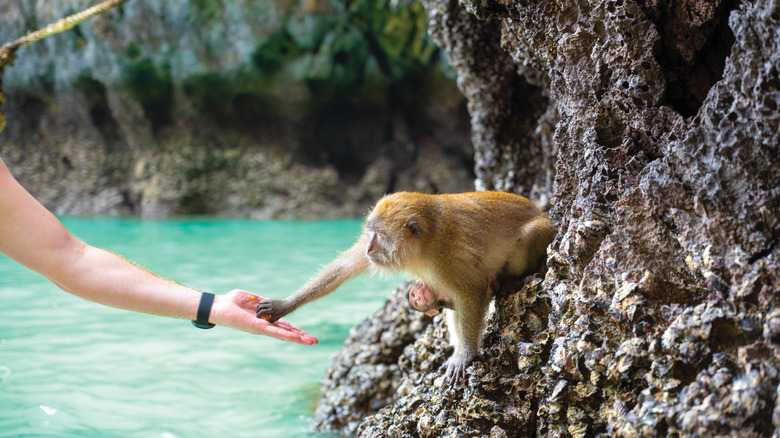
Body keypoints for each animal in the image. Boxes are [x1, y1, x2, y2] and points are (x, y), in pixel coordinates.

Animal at [258, 190, 556, 384]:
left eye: (379, 235)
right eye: (370, 233)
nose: (368, 247)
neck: (425, 244)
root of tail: (543, 212)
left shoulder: (447, 259)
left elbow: (470, 293)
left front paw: (465, 354)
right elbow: (346, 266)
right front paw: (282, 306)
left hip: (543, 232)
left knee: (528, 237)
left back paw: (506, 279)